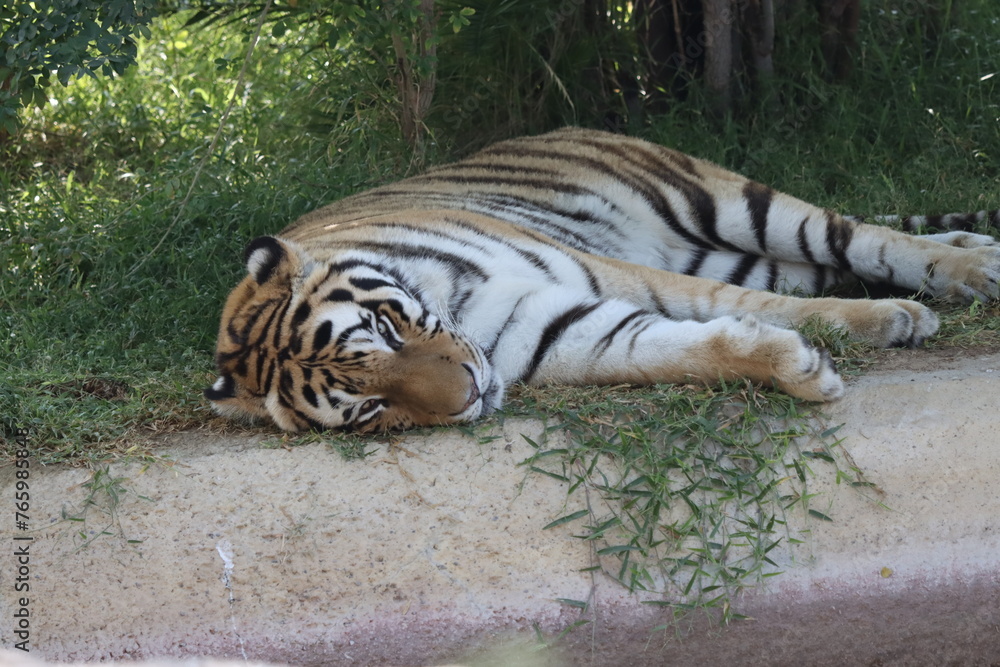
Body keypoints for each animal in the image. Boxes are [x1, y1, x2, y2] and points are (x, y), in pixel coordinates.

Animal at [205, 127, 1000, 433]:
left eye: (384, 328)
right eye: (370, 408)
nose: (469, 394)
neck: (461, 313)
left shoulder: (608, 272)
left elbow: (741, 306)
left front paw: (890, 321)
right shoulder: (563, 332)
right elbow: (679, 348)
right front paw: (797, 368)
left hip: (729, 205)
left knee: (861, 235)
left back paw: (974, 267)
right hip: (742, 248)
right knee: (836, 259)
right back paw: (974, 242)